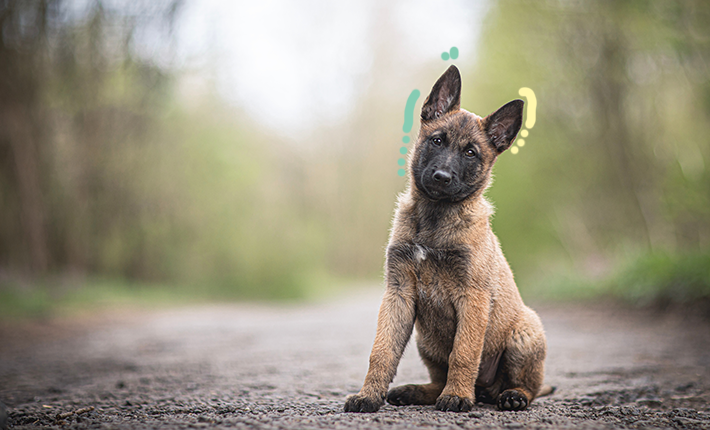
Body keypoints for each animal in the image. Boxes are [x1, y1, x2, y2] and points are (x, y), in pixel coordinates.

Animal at [344, 64, 552, 414]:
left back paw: (511, 396)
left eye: (470, 153)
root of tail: (487, 390)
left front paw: (457, 396)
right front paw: (368, 396)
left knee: (530, 386)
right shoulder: (398, 292)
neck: (435, 217)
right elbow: (382, 351)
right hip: (425, 340)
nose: (442, 177)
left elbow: (464, 353)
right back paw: (415, 392)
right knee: (437, 379)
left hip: (525, 331)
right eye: (437, 141)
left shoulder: (473, 297)